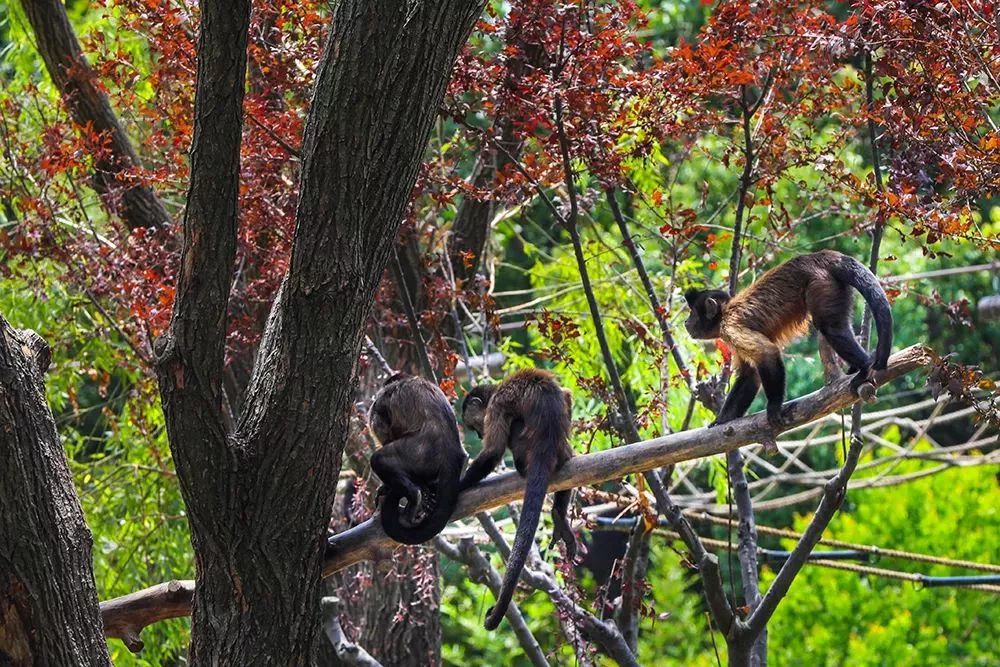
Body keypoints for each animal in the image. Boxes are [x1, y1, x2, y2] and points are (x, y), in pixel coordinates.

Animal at [368, 374, 468, 544]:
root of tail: (450, 455)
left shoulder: (381, 399)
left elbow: (383, 423)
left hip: (419, 453)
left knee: (378, 459)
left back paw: (415, 494)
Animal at [458, 368, 576, 636]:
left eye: (474, 425)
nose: (478, 434)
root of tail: (546, 443)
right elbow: (567, 395)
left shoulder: (497, 404)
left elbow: (493, 452)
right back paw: (559, 516)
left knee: (512, 429)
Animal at [688, 250, 892, 428]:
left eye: (693, 314)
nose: (685, 322)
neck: (724, 314)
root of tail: (820, 256)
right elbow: (750, 374)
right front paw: (722, 420)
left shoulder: (730, 328)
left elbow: (767, 353)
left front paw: (774, 407)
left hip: (820, 282)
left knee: (829, 328)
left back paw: (865, 368)